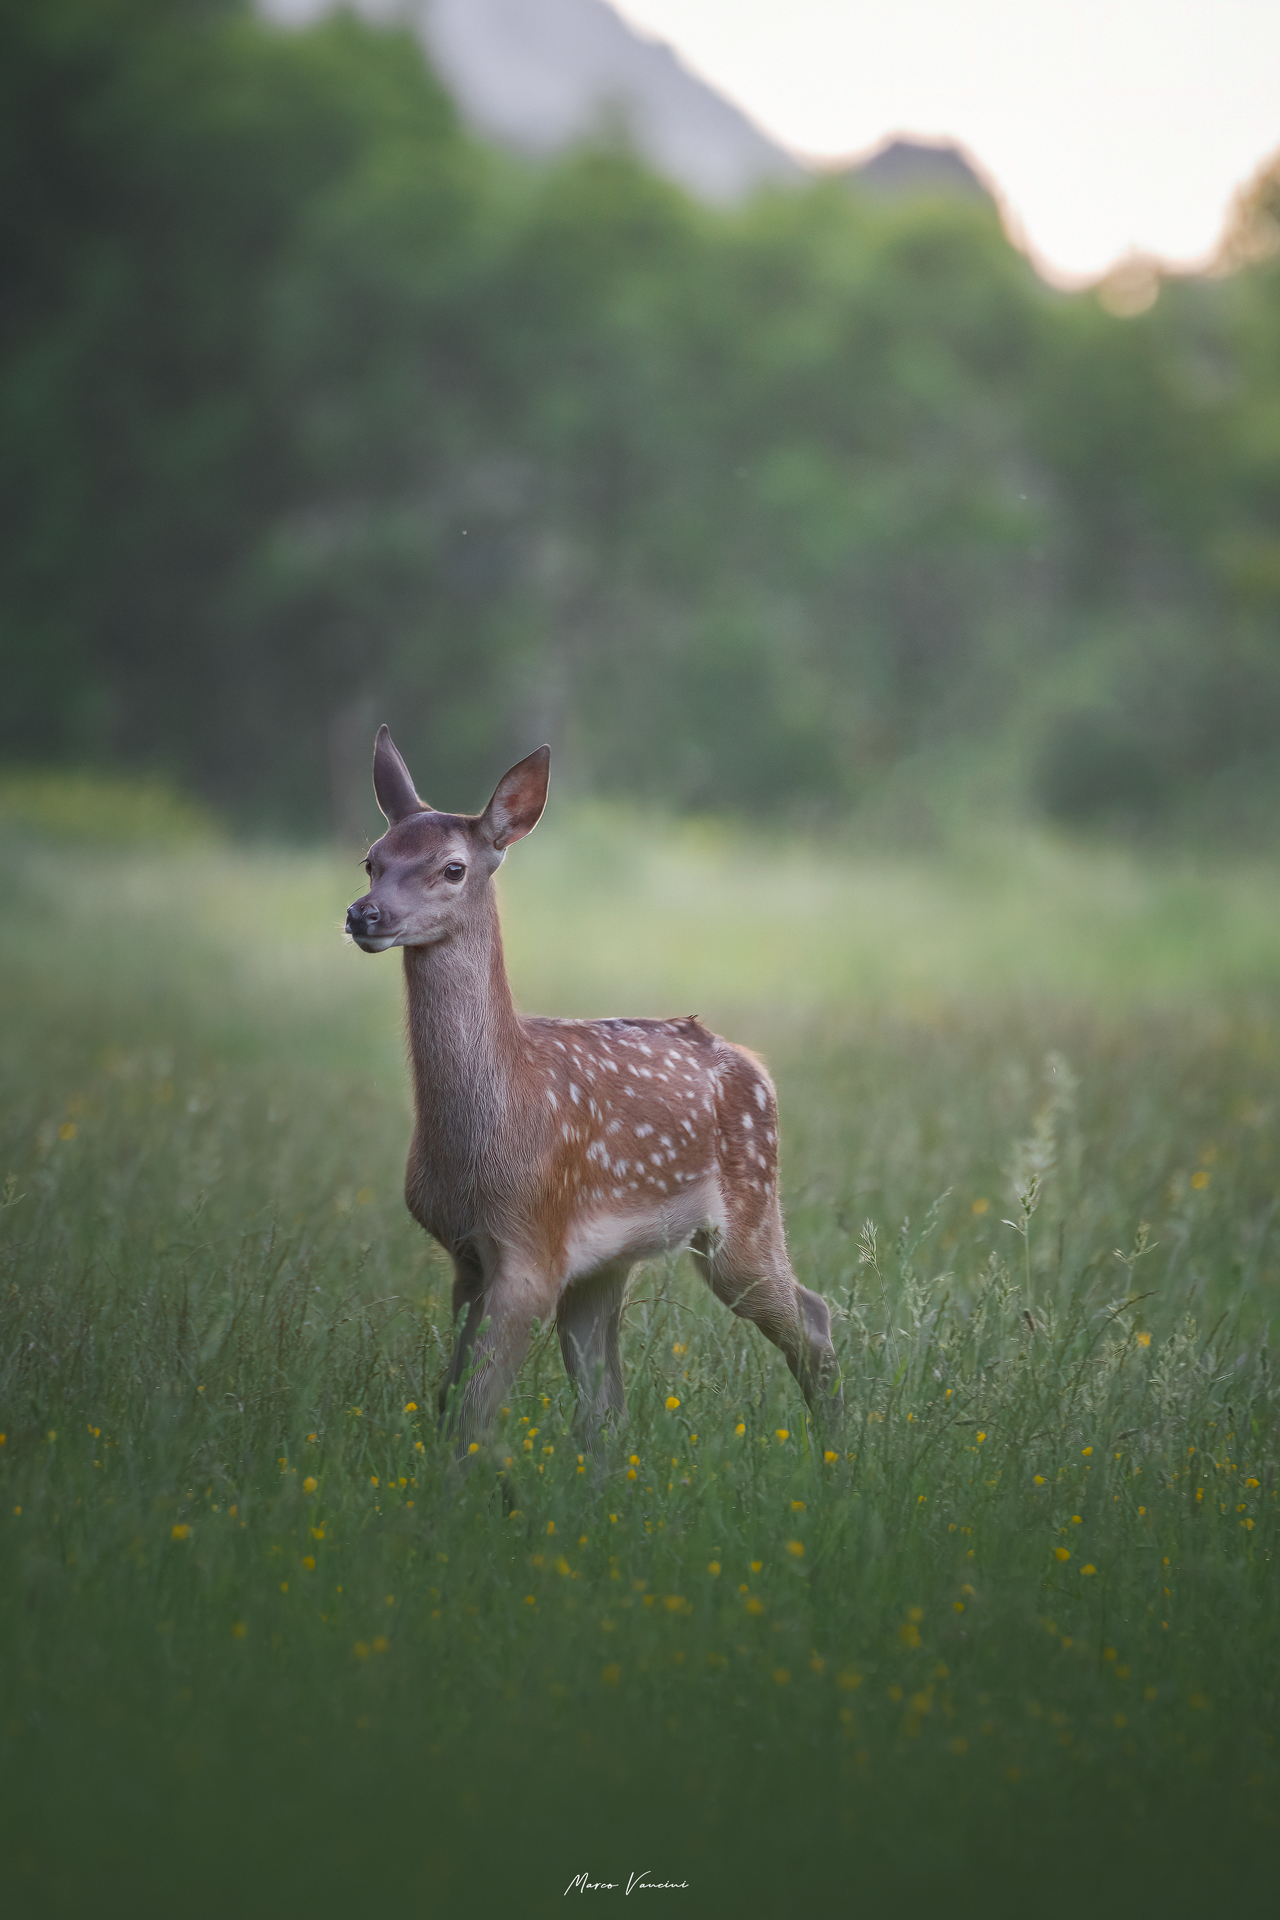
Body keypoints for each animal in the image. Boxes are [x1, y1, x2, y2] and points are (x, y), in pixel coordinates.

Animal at [345, 727, 841, 1449]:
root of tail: (755, 1066)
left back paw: (839, 1449)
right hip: (610, 1264)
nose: (364, 914)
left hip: (747, 1210)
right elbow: (450, 1400)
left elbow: (475, 1412)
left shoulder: (531, 1245)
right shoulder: (467, 1255)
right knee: (607, 1410)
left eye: (453, 868)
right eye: (371, 860)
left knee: (812, 1316)